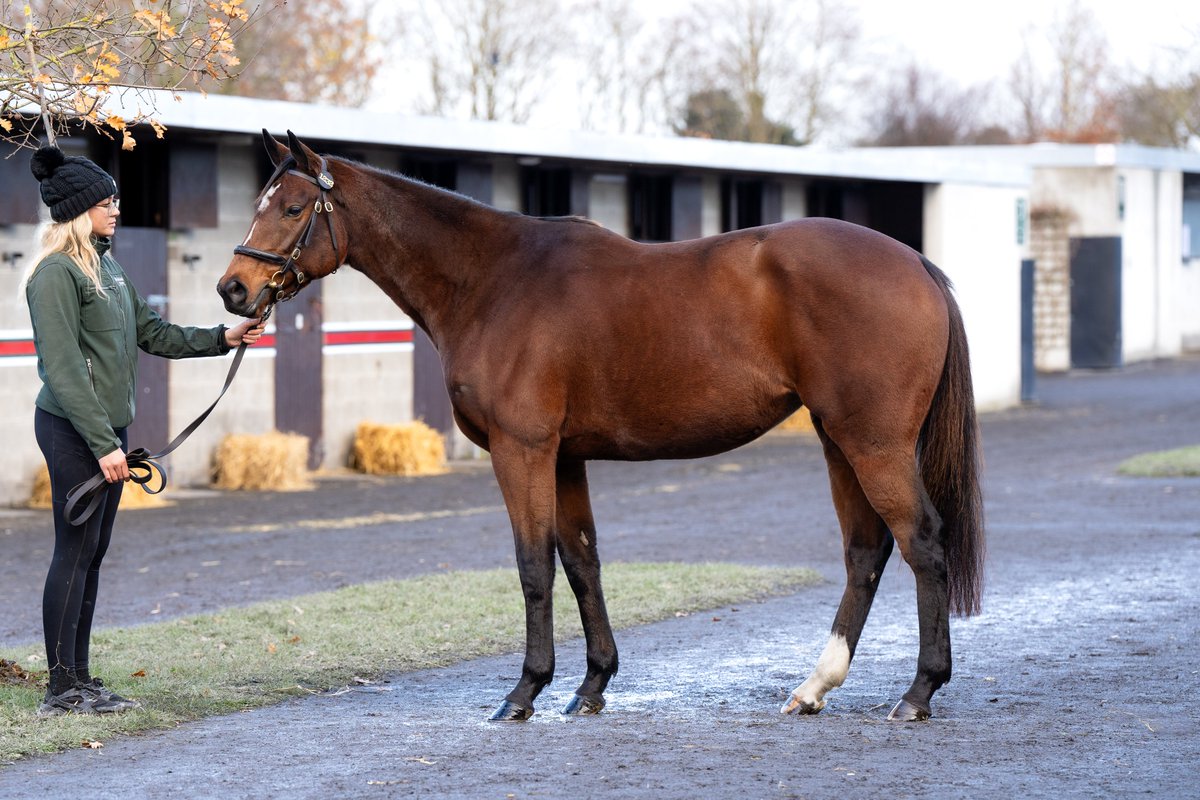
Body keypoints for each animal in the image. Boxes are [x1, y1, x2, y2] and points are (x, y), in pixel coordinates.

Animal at [218, 133, 984, 724]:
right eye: (259, 204)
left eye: (292, 207)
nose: (233, 290)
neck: (494, 281)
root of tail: (915, 262)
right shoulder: (563, 458)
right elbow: (581, 561)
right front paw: (590, 686)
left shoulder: (522, 450)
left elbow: (533, 565)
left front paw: (523, 692)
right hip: (836, 440)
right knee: (865, 551)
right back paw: (814, 688)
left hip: (872, 444)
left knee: (921, 542)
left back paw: (918, 693)